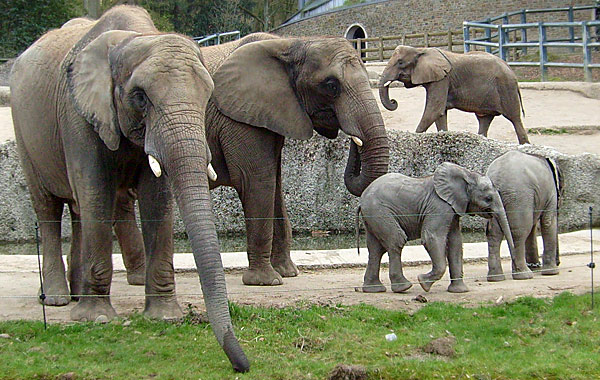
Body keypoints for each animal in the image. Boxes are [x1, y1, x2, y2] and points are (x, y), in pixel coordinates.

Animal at [9, 5, 248, 372]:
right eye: (140, 97)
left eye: (208, 96)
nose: (241, 365)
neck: (134, 39)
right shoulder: (77, 113)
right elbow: (96, 191)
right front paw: (96, 319)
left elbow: (157, 200)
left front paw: (163, 317)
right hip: (25, 132)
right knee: (48, 207)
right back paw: (59, 299)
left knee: (77, 211)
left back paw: (76, 293)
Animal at [199, 34, 392, 286]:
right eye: (331, 86)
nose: (353, 137)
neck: (290, 44)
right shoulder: (237, 118)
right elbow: (255, 181)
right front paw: (266, 281)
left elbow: (275, 184)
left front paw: (287, 272)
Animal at [358, 163, 512, 294]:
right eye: (488, 198)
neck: (466, 174)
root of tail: (362, 199)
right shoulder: (439, 205)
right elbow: (432, 237)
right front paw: (423, 283)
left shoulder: (453, 208)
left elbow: (455, 243)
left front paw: (459, 291)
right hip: (379, 211)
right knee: (397, 240)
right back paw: (404, 287)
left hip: (373, 215)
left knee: (376, 249)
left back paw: (374, 290)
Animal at [380, 44, 528, 145]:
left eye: (400, 62)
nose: (394, 101)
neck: (421, 50)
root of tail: (511, 70)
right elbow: (440, 114)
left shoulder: (442, 79)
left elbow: (434, 110)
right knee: (484, 120)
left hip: (506, 88)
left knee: (515, 119)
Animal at [486, 150, 560, 280]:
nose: (558, 262)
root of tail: (497, 178)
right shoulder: (551, 192)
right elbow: (547, 221)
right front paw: (552, 272)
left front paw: (536, 267)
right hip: (519, 195)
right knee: (519, 231)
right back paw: (524, 274)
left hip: (496, 199)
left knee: (494, 233)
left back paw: (496, 277)